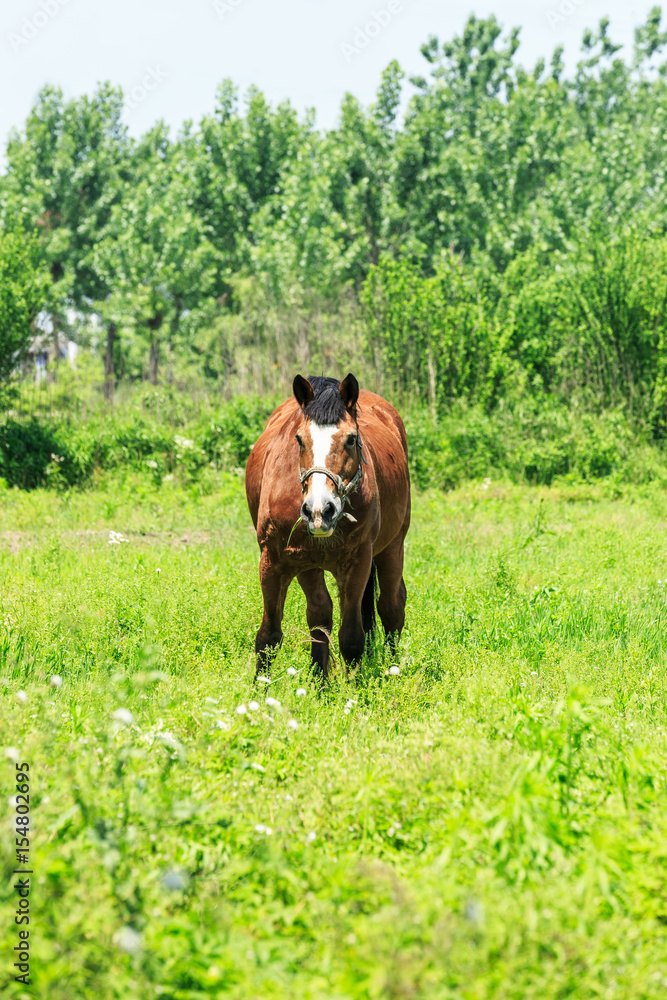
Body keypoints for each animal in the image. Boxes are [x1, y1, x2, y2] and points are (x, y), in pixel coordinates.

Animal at [247, 376, 412, 680]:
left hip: (393, 547)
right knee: (320, 614)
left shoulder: (358, 562)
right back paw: (320, 681)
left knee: (392, 607)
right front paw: (259, 691)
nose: (319, 510)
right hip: (309, 565)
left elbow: (352, 638)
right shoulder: (274, 562)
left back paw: (393, 672)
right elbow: (268, 637)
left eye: (351, 439)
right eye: (299, 439)